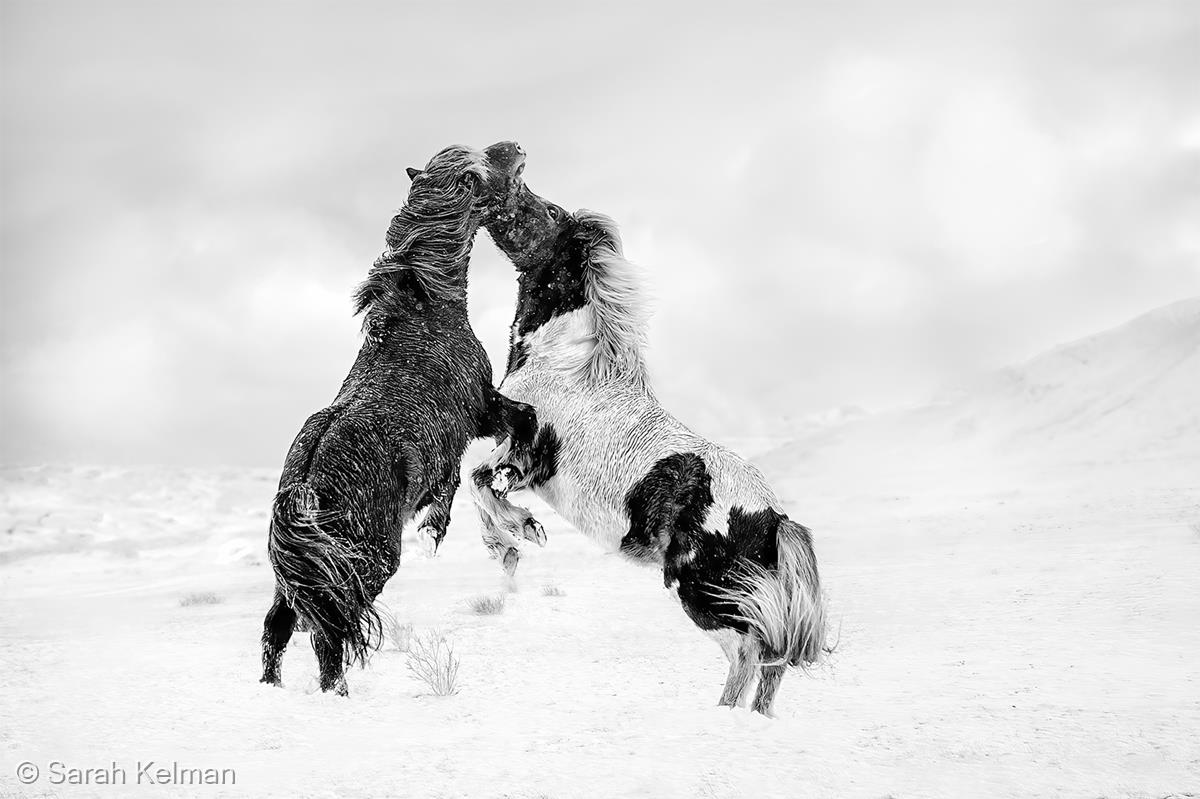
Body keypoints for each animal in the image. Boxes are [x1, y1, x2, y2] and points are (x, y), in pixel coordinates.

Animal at [265, 141, 542, 691]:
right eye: (481, 168)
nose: (516, 147)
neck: (426, 310)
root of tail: (306, 483)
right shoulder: (483, 408)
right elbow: (522, 424)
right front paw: (517, 524)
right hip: (366, 563)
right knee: (328, 632)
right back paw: (336, 695)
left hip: (313, 572)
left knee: (279, 624)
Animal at [468, 188, 825, 715]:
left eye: (549, 212)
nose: (490, 194)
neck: (568, 365)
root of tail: (773, 518)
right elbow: (477, 487)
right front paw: (510, 543)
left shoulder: (524, 453)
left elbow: (479, 484)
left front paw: (517, 537)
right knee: (771, 662)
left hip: (702, 590)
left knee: (747, 652)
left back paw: (721, 716)